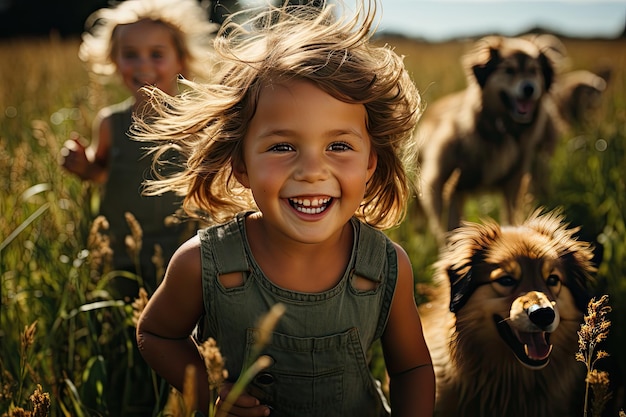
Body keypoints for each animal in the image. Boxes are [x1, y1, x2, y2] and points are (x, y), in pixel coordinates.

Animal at [414, 36, 560, 244]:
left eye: (534, 70)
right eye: (509, 70)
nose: (529, 88)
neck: (499, 129)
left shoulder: (513, 183)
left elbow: (510, 216)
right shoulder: (444, 183)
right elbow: (449, 228)